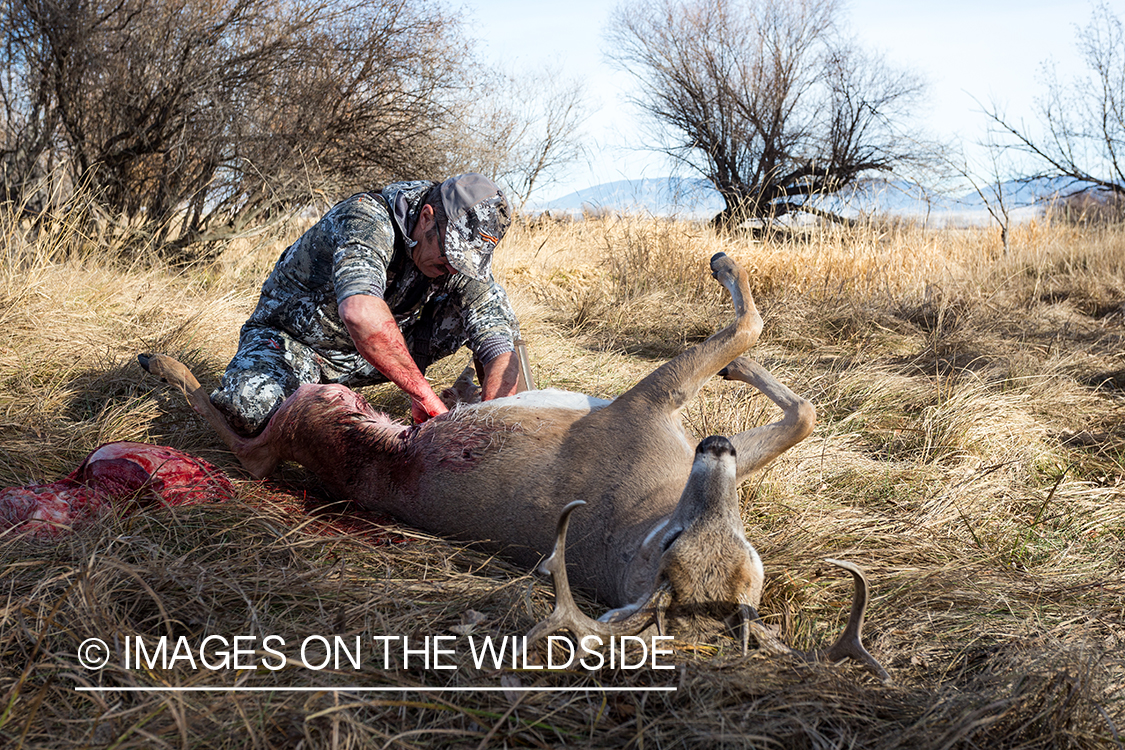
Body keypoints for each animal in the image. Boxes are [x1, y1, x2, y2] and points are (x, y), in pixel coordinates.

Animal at [140, 250, 891, 679]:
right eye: (679, 544)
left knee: (251, 445)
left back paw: (161, 361)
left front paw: (726, 284)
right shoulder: (655, 416)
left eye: (743, 558)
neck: (646, 513)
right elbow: (786, 387)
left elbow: (764, 351)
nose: (716, 450)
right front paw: (734, 338)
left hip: (317, 407)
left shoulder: (649, 414)